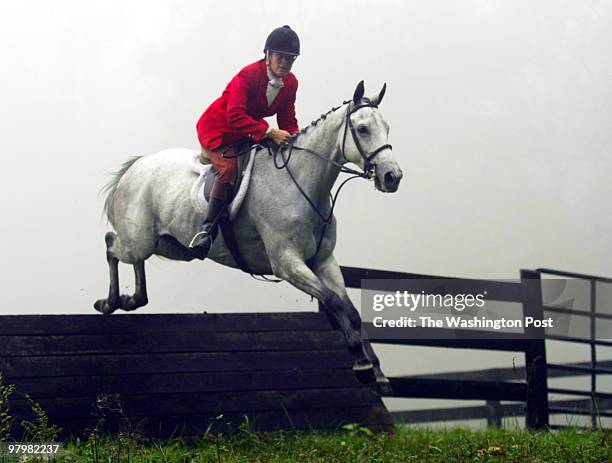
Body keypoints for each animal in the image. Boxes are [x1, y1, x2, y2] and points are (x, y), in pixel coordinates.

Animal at [95, 81, 402, 394]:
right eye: (362, 129)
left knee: (134, 260)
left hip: (171, 246)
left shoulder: (323, 260)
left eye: (387, 128)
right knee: (111, 244)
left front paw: (378, 374)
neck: (302, 184)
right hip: (139, 240)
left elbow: (351, 311)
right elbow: (334, 303)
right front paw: (362, 367)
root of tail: (136, 166)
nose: (392, 176)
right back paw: (109, 302)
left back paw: (131, 300)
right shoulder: (287, 263)